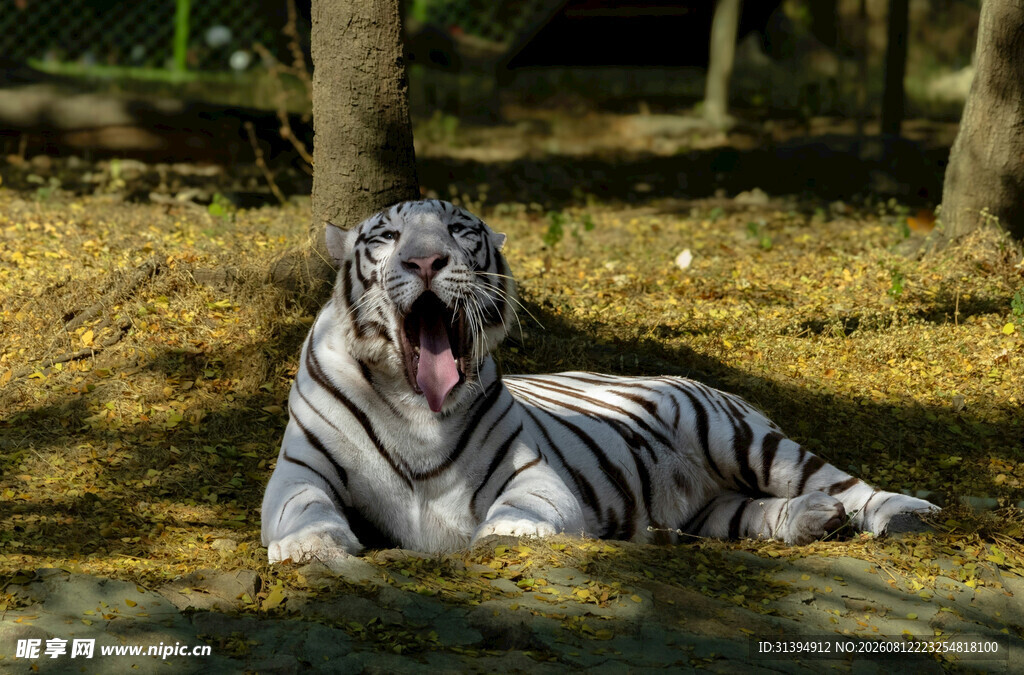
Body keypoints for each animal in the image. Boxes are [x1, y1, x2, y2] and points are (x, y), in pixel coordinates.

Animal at [260, 199, 937, 564]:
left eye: (459, 231)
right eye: (388, 236)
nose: (425, 261)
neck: (413, 401)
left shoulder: (533, 474)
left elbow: (522, 509)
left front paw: (508, 535)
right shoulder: (302, 469)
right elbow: (301, 507)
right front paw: (310, 547)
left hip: (742, 439)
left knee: (843, 481)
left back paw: (908, 515)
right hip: (709, 509)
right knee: (755, 513)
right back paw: (813, 521)